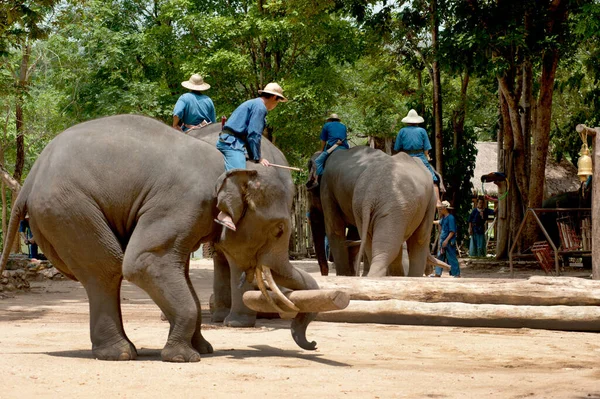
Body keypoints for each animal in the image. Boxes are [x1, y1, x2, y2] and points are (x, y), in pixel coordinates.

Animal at [0, 113, 318, 362]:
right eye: (279, 229)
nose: (313, 344)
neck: (231, 166)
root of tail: (29, 181)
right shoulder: (183, 202)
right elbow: (146, 263)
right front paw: (185, 357)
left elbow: (179, 272)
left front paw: (203, 349)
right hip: (69, 208)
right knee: (108, 268)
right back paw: (120, 354)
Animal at [312, 147, 442, 278]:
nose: (430, 271)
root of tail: (369, 195)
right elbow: (421, 237)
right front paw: (413, 276)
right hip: (392, 208)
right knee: (387, 247)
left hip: (365, 209)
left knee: (373, 244)